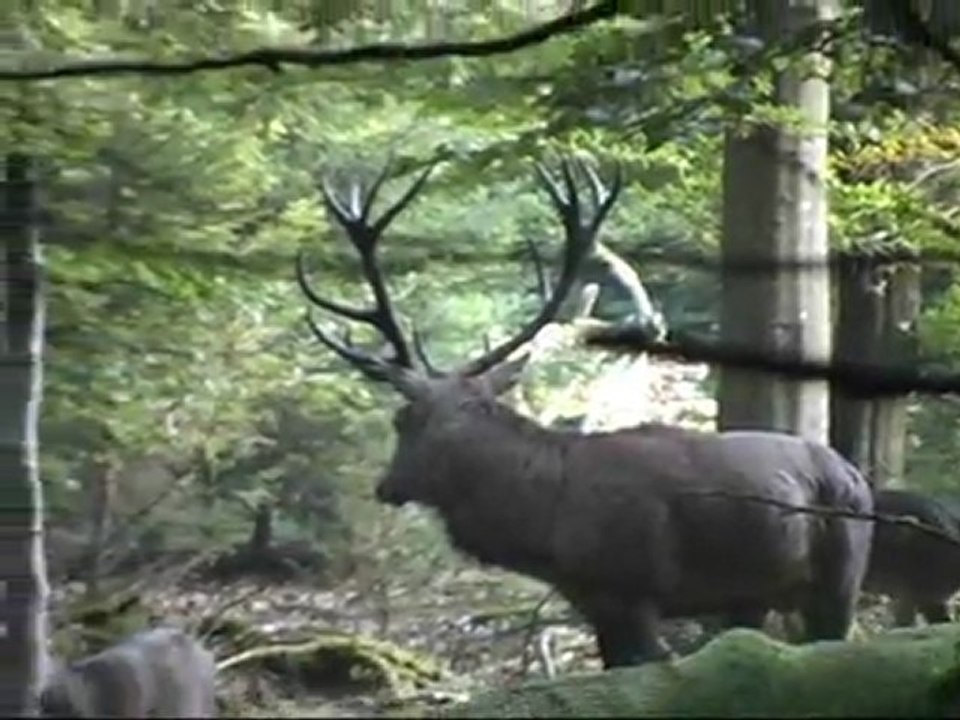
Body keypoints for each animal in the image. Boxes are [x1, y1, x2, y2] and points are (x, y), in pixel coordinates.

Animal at [295, 155, 875, 668]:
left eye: (403, 420)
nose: (385, 486)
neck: (548, 524)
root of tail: (857, 477)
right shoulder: (596, 603)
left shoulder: (634, 591)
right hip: (754, 593)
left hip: (843, 571)